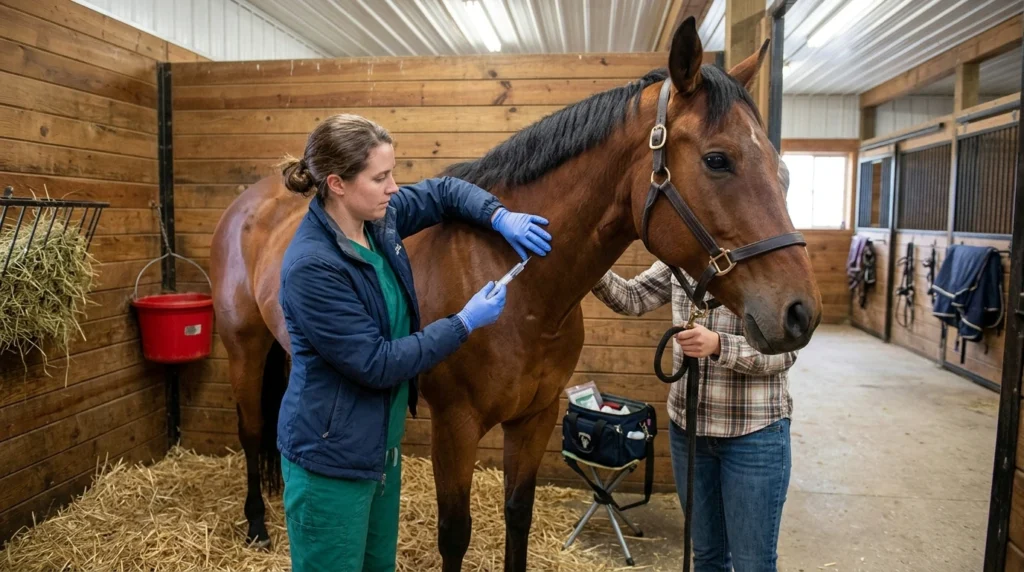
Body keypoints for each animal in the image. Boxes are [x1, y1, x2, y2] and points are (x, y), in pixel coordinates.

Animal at [209, 17, 821, 572]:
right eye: (718, 159)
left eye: (777, 166)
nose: (800, 313)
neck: (524, 290)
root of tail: (253, 202)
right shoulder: (455, 426)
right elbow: (455, 533)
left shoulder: (535, 418)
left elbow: (517, 516)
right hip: (243, 346)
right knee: (252, 429)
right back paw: (258, 526)